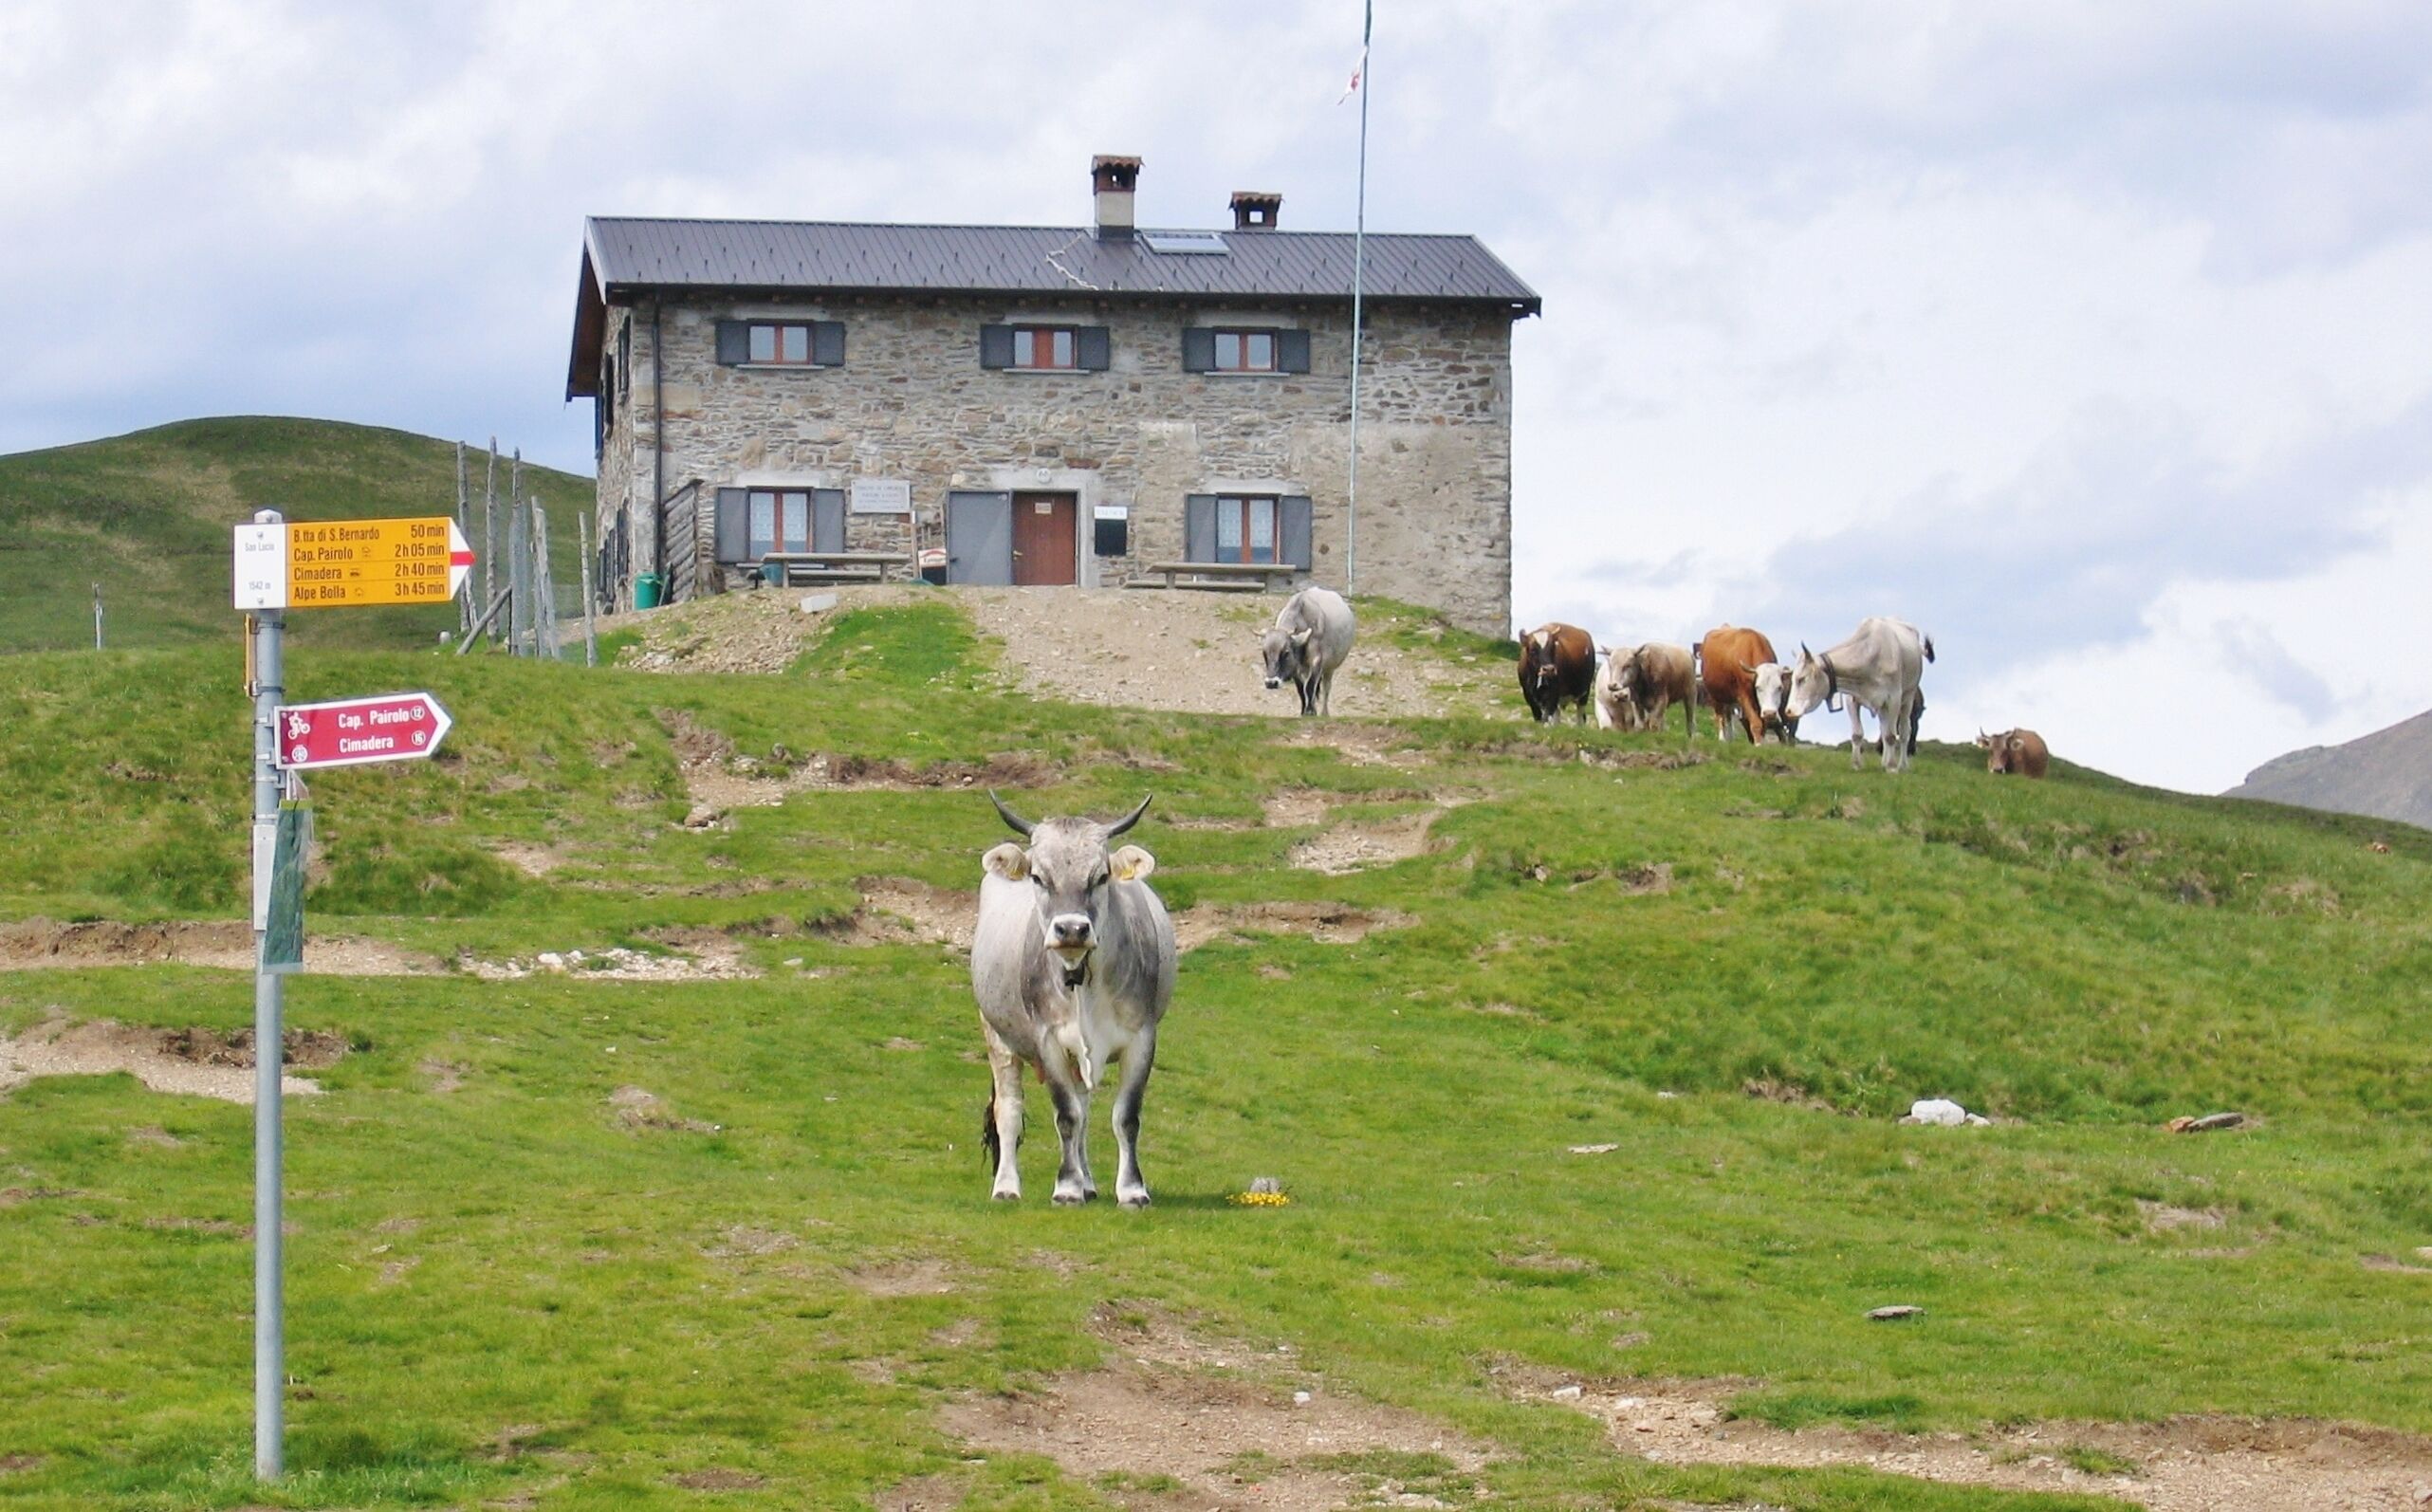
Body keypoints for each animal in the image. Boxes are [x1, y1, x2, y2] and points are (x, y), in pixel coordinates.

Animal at [973, 792, 1176, 1207]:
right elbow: (1065, 1115)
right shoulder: (1047, 1039)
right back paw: (1007, 1187)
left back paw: (1088, 1182)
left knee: (1084, 1108)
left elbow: (1125, 1116)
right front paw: (1066, 1187)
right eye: (1038, 876)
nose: (1071, 929)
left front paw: (1132, 1190)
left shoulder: (1143, 1038)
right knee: (1009, 1111)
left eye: (1101, 876)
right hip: (996, 1034)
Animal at [1260, 587, 1357, 717]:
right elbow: (1301, 689)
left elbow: (1310, 686)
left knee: (1326, 688)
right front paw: (1304, 711)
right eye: (1264, 653)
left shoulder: (1317, 661)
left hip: (1329, 668)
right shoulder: (1296, 668)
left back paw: (1324, 713)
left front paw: (1310, 711)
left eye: (1286, 653)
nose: (1271, 683)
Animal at [1786, 617, 1935, 773]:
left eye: (1801, 679)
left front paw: (1892, 767)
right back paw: (1884, 761)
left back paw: (1902, 765)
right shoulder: (1852, 699)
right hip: (1883, 708)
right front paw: (1856, 764)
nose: (1789, 711)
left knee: (1905, 731)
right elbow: (1858, 734)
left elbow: (1891, 735)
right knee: (1884, 729)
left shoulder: (1894, 698)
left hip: (1908, 697)